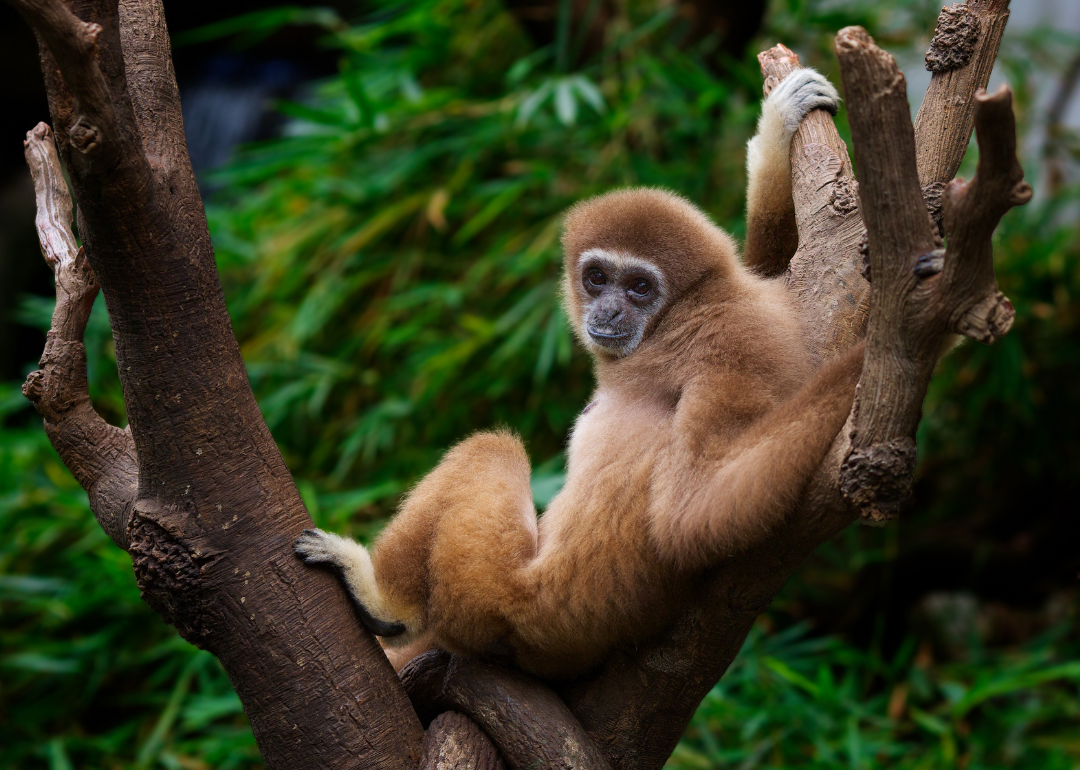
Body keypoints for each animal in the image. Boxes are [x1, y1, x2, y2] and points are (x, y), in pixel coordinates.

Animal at [291, 69, 864, 673]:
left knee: (491, 449)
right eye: (597, 278)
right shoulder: (758, 304)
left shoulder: (732, 343)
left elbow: (696, 509)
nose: (607, 311)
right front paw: (778, 134)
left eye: (639, 287)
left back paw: (380, 601)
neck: (680, 315)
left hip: (494, 600)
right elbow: (774, 269)